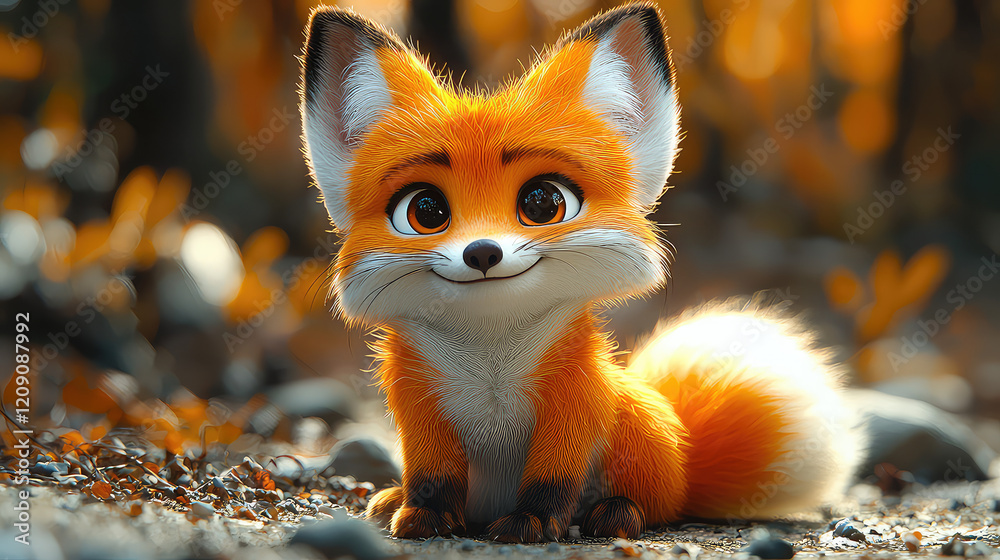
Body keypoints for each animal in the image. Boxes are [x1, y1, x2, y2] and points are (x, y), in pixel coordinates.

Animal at [299, 2, 864, 543]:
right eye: (426, 211)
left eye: (543, 202)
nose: (482, 253)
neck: (489, 371)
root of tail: (684, 458)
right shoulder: (419, 404)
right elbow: (432, 477)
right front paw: (425, 516)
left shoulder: (575, 400)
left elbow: (553, 481)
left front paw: (531, 524)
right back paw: (393, 499)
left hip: (632, 433)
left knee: (652, 506)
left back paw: (615, 514)